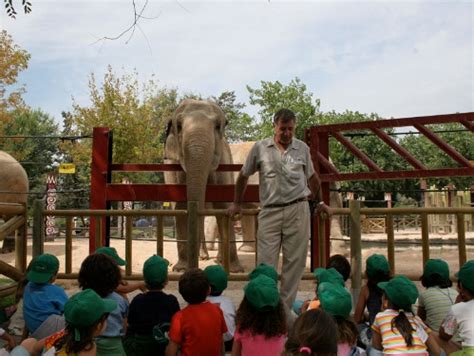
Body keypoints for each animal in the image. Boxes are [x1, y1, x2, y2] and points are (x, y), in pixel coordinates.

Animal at [164, 100, 244, 272]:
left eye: (218, 126)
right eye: (178, 126)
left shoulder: (224, 162)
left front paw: (235, 270)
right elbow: (180, 207)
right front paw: (180, 268)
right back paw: (203, 257)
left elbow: (223, 205)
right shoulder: (172, 167)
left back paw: (218, 259)